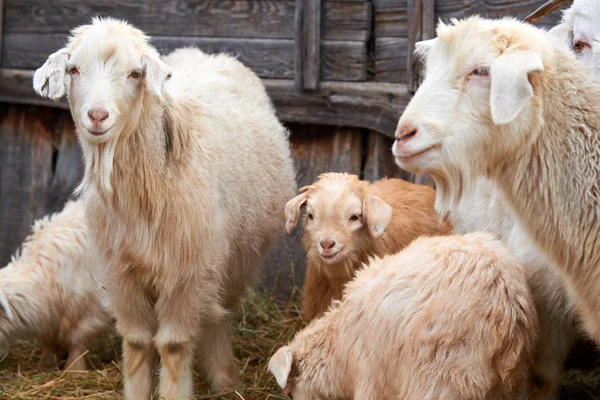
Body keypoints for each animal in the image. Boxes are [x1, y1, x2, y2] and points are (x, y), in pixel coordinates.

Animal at [0, 202, 112, 370]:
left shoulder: (87, 312)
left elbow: (76, 341)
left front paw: (74, 368)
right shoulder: (49, 319)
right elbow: (49, 343)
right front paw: (45, 364)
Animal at [31, 17, 296, 398]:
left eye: (134, 73)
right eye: (73, 69)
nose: (97, 116)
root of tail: (212, 52)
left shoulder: (187, 271)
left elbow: (172, 345)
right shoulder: (120, 273)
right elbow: (138, 342)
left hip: (233, 262)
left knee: (220, 315)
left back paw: (226, 379)